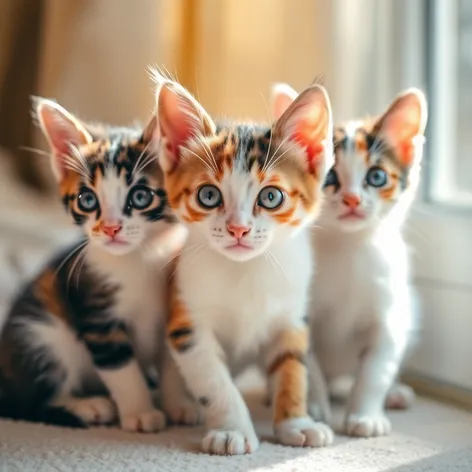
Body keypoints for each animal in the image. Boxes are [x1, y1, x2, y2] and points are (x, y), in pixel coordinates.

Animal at [0, 99, 197, 432]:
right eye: (87, 200)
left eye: (141, 196)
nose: (110, 229)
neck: (140, 259)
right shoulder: (96, 315)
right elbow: (122, 369)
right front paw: (140, 413)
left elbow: (173, 363)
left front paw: (178, 406)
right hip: (40, 335)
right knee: (26, 402)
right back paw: (88, 406)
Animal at [151, 72, 336, 456]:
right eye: (208, 195)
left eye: (271, 196)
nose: (239, 228)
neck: (248, 270)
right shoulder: (188, 323)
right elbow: (214, 381)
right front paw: (231, 429)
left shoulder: (291, 315)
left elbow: (291, 367)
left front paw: (296, 422)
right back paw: (180, 404)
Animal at [270, 83, 428, 436]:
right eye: (329, 177)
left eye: (377, 177)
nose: (353, 199)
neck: (348, 246)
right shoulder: (300, 312)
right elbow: (307, 363)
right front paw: (312, 407)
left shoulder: (389, 316)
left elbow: (376, 369)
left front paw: (366, 415)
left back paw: (394, 392)